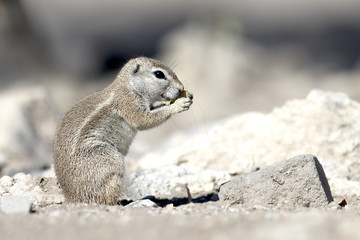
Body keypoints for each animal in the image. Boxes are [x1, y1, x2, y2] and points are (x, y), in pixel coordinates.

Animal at [53, 56, 193, 204]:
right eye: (159, 74)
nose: (181, 88)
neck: (129, 86)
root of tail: (71, 197)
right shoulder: (128, 103)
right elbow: (144, 120)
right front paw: (179, 104)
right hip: (108, 159)